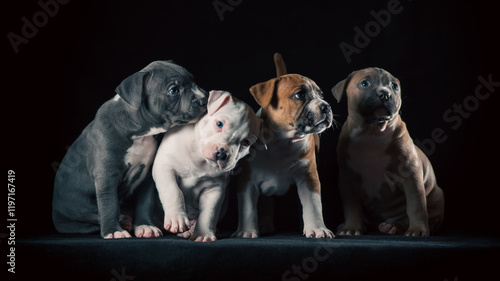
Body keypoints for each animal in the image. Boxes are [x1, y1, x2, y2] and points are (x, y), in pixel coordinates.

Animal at [50, 60, 207, 237]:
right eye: (174, 90)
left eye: (193, 80)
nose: (204, 99)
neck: (140, 134)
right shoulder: (106, 175)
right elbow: (109, 204)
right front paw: (113, 231)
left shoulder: (146, 177)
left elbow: (145, 203)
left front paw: (145, 225)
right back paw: (122, 221)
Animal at [152, 89, 262, 241]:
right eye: (220, 124)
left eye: (245, 143)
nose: (222, 154)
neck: (200, 159)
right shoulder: (165, 168)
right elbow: (173, 191)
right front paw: (177, 219)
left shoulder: (214, 189)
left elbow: (209, 213)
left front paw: (203, 235)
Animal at [232, 53, 334, 237]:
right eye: (299, 95)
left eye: (321, 95)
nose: (326, 107)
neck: (282, 141)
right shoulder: (247, 181)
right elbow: (248, 208)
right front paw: (246, 231)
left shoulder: (308, 177)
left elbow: (313, 205)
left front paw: (318, 228)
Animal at [332, 66, 446, 235]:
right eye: (364, 83)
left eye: (394, 86)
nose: (385, 93)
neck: (372, 132)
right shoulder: (347, 179)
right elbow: (352, 207)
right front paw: (351, 227)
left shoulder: (411, 176)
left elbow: (416, 206)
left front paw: (418, 229)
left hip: (436, 197)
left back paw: (393, 226)